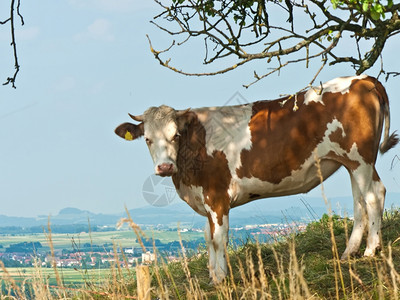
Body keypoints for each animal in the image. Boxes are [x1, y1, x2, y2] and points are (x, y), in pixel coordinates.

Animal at [114, 75, 398, 282]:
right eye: (147, 139)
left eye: (175, 135)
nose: (164, 167)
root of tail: (362, 78)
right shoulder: (204, 198)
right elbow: (207, 237)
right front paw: (213, 276)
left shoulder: (216, 196)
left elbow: (218, 238)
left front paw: (221, 279)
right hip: (350, 162)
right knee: (360, 201)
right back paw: (349, 252)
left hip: (360, 157)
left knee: (374, 195)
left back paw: (371, 250)